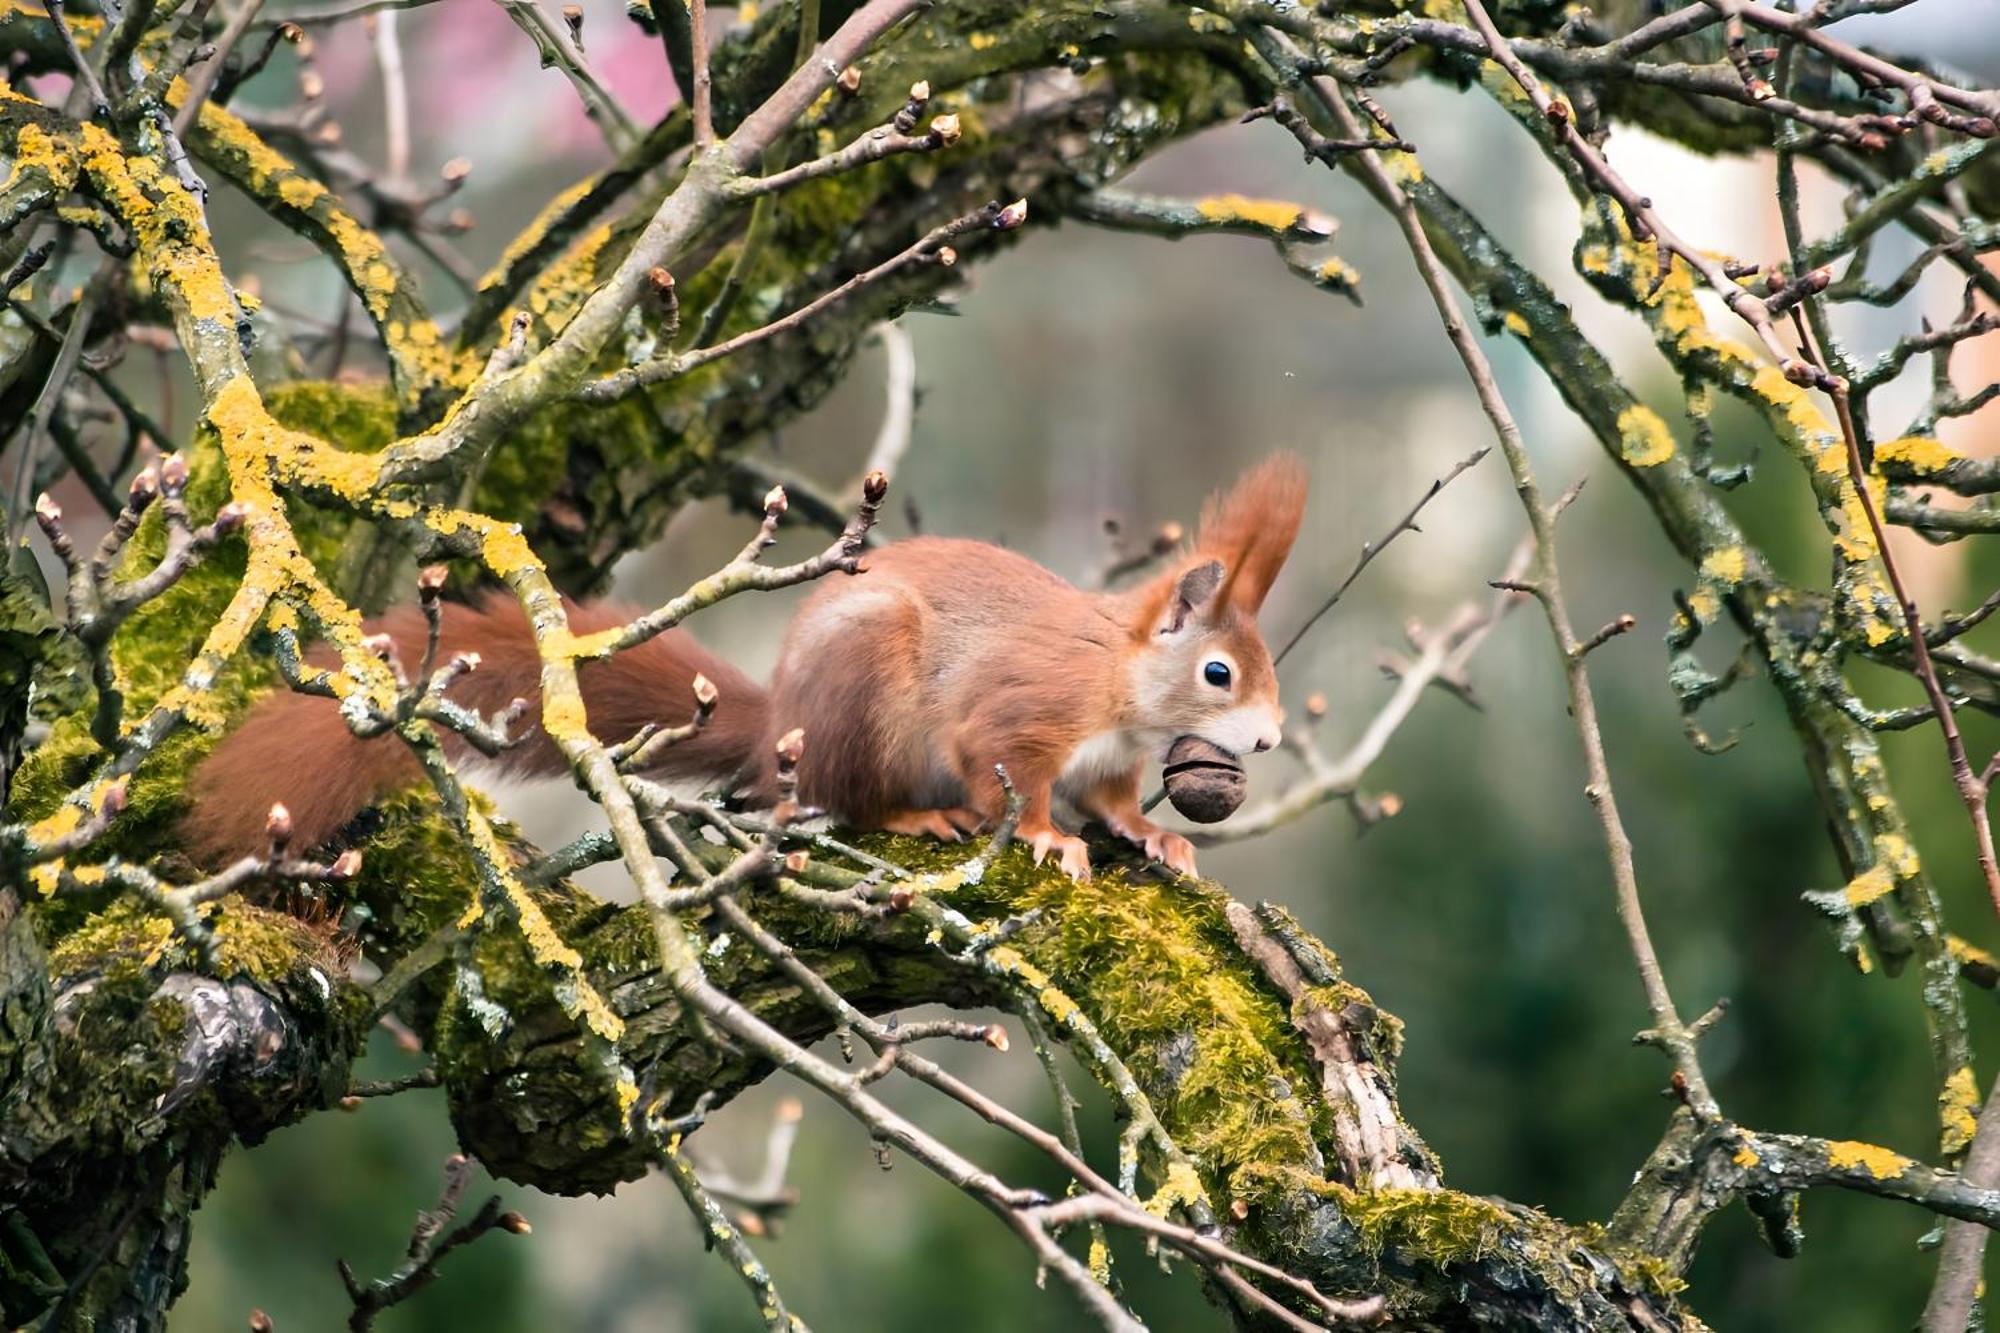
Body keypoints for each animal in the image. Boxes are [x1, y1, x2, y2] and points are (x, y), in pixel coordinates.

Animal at [188, 452, 1304, 876]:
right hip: (863, 693)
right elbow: (1013, 780)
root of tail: (776, 729)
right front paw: (1047, 838)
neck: (1119, 687)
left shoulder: (1112, 759)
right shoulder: (1024, 713)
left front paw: (1155, 839)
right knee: (836, 797)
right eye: (1219, 674)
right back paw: (911, 814)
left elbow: (1115, 802)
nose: (1266, 738)